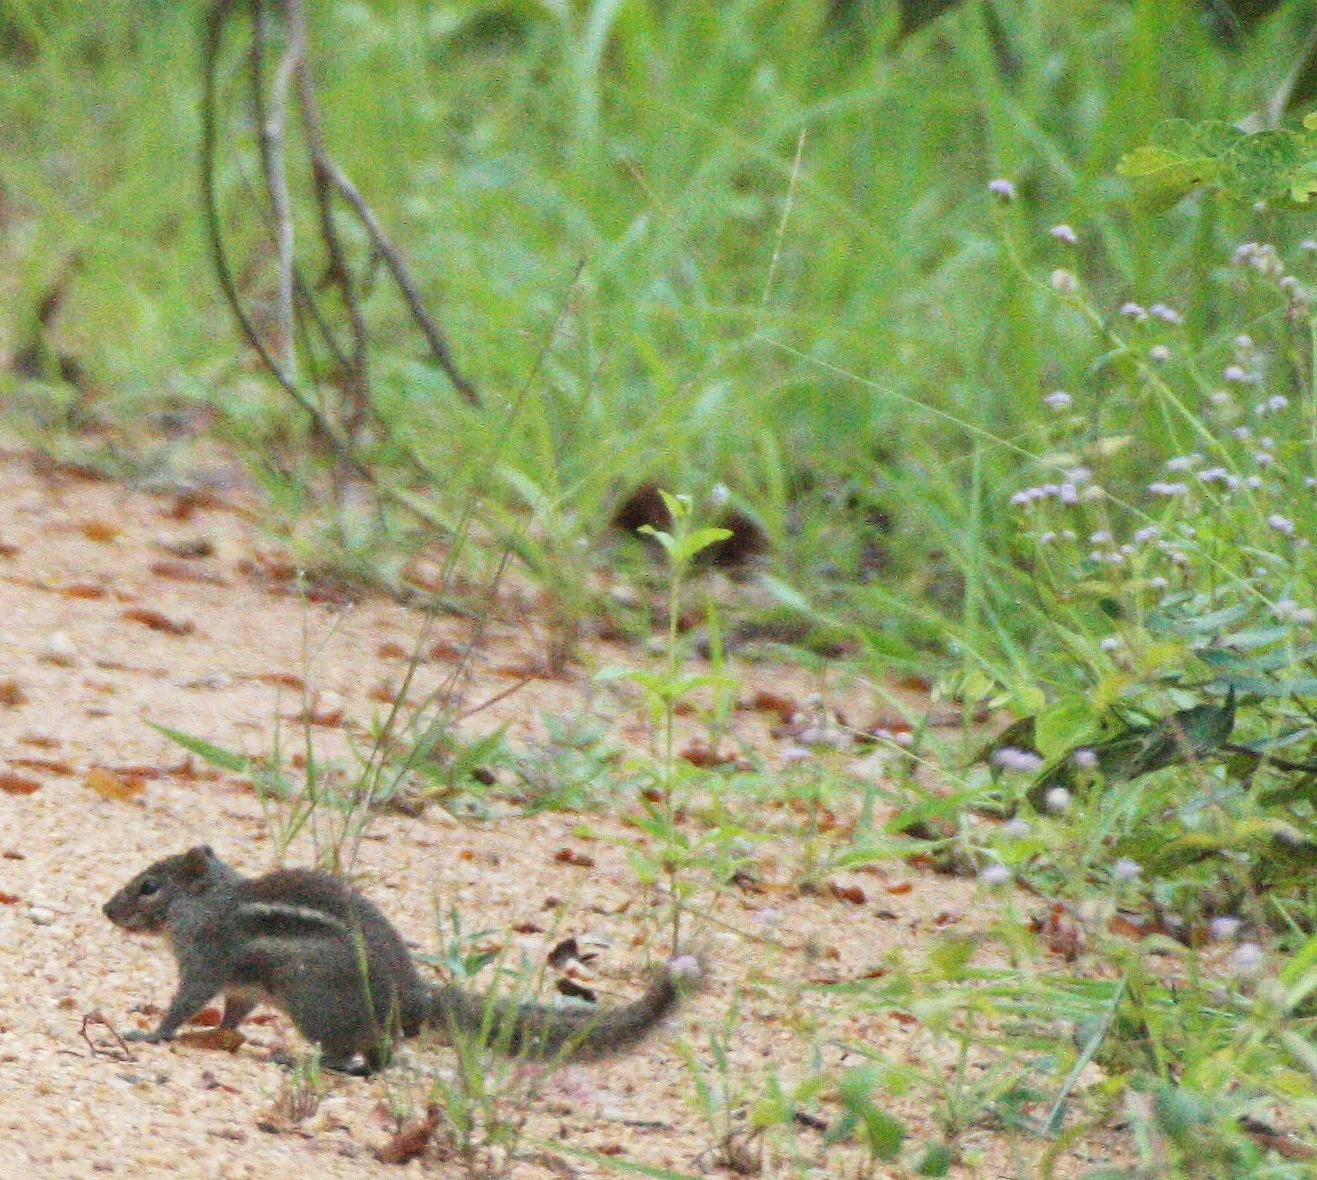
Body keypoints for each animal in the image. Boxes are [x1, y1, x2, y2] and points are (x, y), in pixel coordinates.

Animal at [103, 845, 699, 1074]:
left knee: (350, 1053)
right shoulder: (242, 987)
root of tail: (414, 994)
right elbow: (233, 1013)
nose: (106, 909)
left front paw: (149, 1034)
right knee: (381, 1056)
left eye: (149, 886)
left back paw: (301, 1060)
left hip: (312, 1000)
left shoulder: (205, 962)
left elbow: (184, 1004)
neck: (208, 904)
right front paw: (221, 1035)